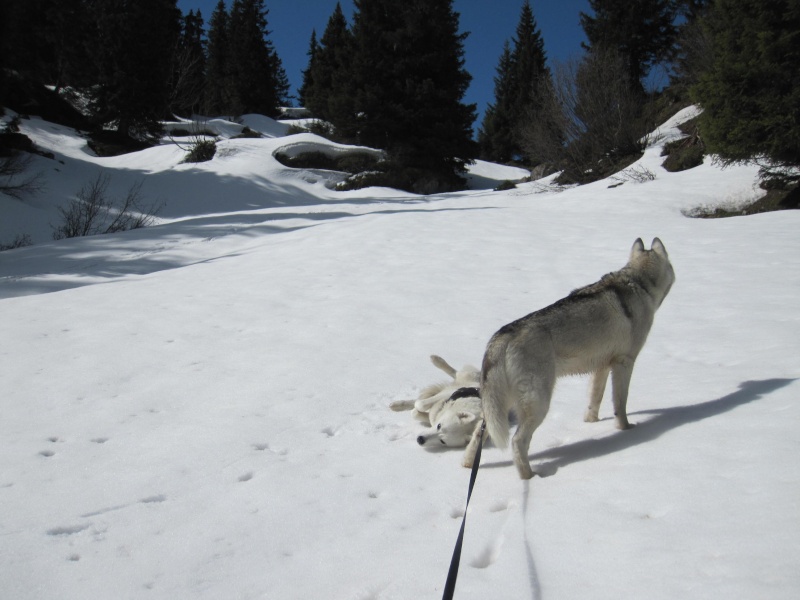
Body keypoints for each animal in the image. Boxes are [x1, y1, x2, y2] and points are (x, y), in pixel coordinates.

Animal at [462, 238, 676, 478]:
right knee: (518, 441)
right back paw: (531, 476)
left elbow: (595, 399)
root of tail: (502, 336)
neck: (638, 282)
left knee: (478, 435)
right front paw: (626, 429)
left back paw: (468, 464)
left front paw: (591, 422)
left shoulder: (602, 366)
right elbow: (620, 403)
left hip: (498, 409)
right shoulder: (624, 363)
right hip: (538, 404)